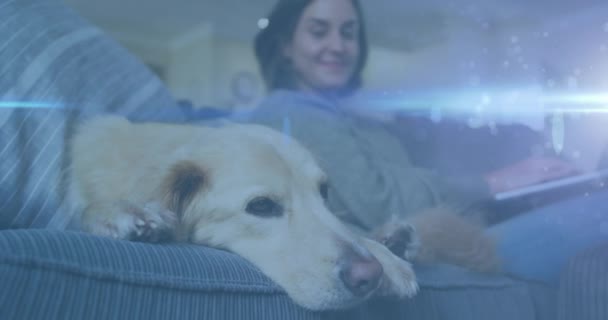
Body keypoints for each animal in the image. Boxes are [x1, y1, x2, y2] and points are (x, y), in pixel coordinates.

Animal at [66, 115, 496, 310]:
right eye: (261, 207)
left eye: (323, 192)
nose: (368, 276)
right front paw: (122, 213)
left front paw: (386, 256)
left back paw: (396, 238)